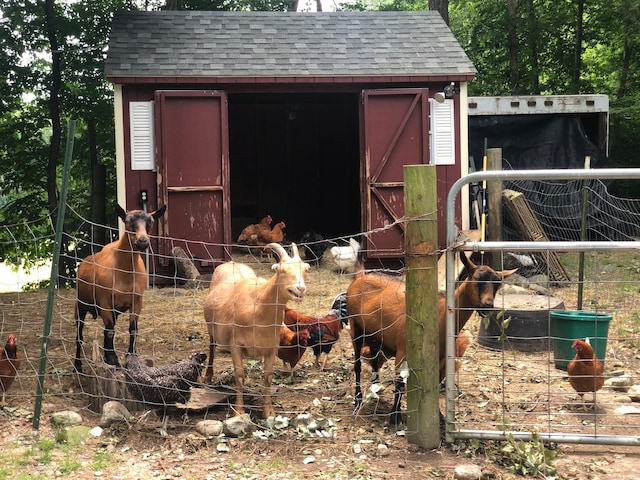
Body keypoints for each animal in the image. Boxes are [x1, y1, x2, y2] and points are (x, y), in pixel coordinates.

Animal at [201, 242, 308, 418]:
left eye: (306, 269)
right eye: (281, 270)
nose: (300, 288)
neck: (258, 308)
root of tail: (231, 262)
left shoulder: (272, 348)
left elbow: (268, 378)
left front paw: (268, 411)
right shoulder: (235, 345)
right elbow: (240, 376)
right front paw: (239, 410)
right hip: (211, 329)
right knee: (211, 347)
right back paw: (208, 376)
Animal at [344, 251, 516, 424]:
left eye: (497, 284)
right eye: (476, 279)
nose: (488, 306)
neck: (438, 316)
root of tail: (360, 276)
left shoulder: (440, 361)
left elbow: (435, 385)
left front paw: (439, 417)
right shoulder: (402, 353)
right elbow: (400, 383)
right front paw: (395, 417)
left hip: (375, 335)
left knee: (373, 360)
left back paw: (376, 388)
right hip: (355, 327)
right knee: (358, 365)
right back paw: (358, 400)